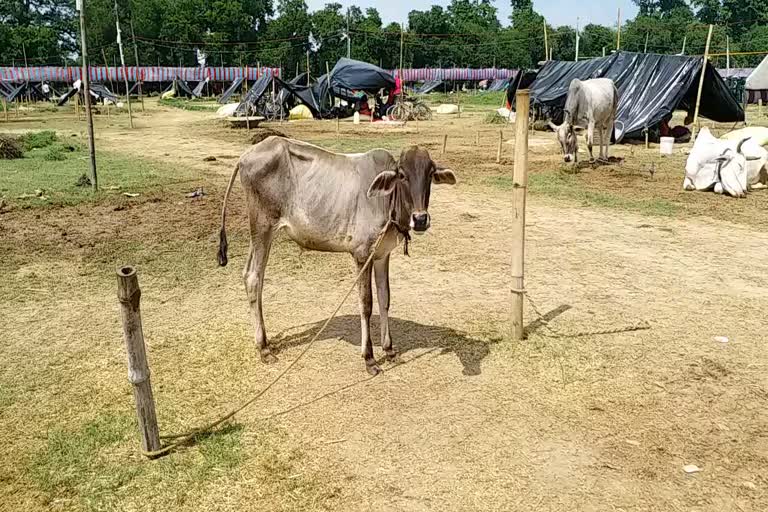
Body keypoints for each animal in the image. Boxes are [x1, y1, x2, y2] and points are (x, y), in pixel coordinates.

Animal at [218, 138, 456, 374]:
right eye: (403, 175)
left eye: (430, 174)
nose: (421, 219)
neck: (387, 202)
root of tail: (246, 155)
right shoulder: (362, 254)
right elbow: (366, 304)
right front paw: (369, 358)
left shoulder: (382, 255)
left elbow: (385, 298)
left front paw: (389, 349)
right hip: (262, 227)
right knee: (253, 277)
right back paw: (263, 347)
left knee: (254, 277)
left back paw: (265, 341)